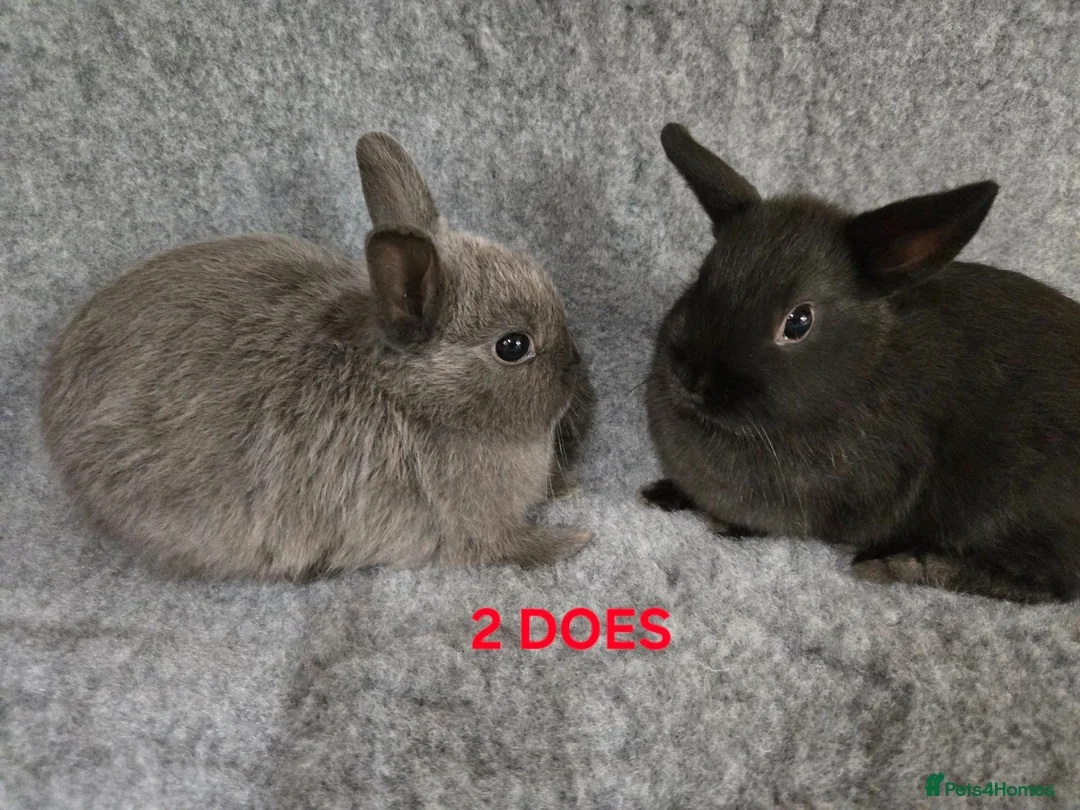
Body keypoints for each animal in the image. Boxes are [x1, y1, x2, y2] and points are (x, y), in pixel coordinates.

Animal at [39, 132, 595, 581]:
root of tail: (51, 411)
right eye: (513, 346)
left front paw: (567, 487)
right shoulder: (469, 527)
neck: (414, 398)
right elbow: (513, 549)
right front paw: (573, 540)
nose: (576, 368)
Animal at [641, 122, 1080, 603]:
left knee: (1052, 585)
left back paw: (905, 565)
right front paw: (661, 493)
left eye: (798, 321)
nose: (691, 378)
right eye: (703, 277)